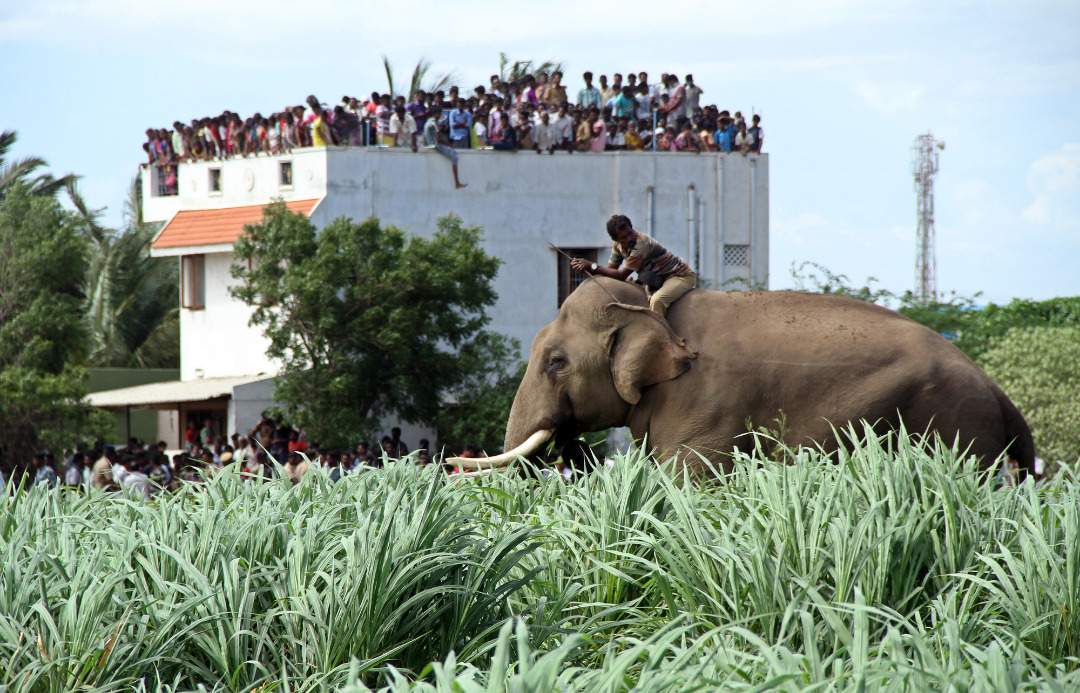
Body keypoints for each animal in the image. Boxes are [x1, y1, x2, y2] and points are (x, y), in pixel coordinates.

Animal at [449, 278, 1036, 477]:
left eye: (556, 362)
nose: (452, 461)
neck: (649, 309)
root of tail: (999, 391)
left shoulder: (703, 404)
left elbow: (688, 479)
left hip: (955, 425)